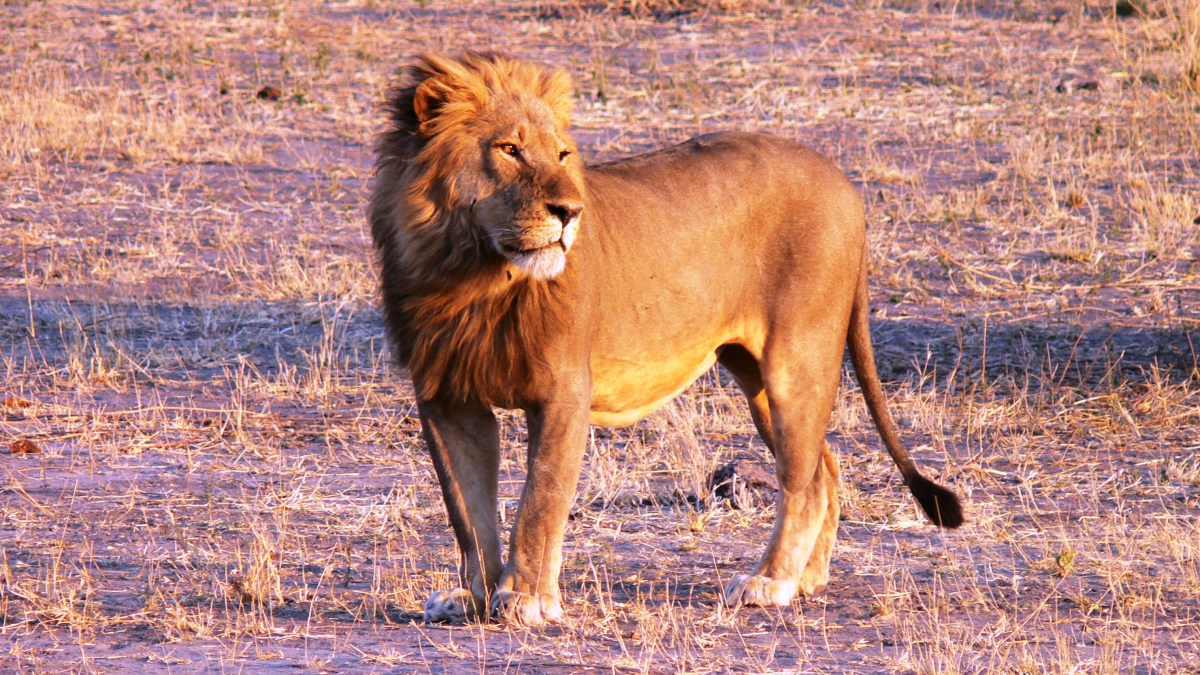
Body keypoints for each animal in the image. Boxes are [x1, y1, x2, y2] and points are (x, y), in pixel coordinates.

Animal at [369, 52, 963, 627]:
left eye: (561, 155)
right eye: (509, 149)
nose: (570, 213)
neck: (470, 273)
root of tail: (844, 181)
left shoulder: (564, 390)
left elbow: (541, 500)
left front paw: (527, 600)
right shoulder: (446, 398)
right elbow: (466, 511)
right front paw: (474, 599)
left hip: (796, 361)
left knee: (801, 478)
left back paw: (770, 583)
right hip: (756, 376)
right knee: (823, 468)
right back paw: (806, 580)